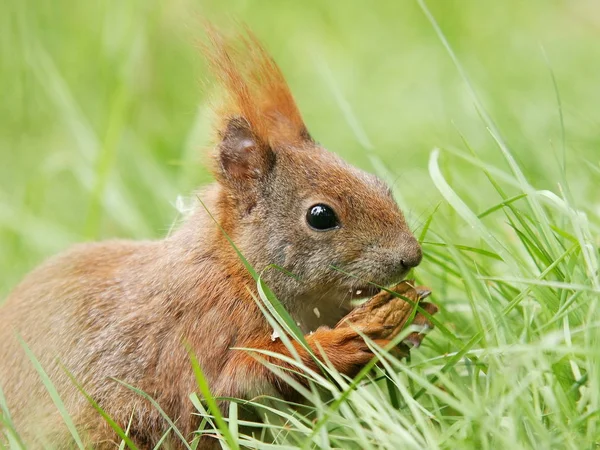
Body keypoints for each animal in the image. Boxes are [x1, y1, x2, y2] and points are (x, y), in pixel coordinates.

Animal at [0, 27, 432, 446]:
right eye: (321, 216)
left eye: (379, 184)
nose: (411, 256)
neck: (237, 271)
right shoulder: (202, 329)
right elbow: (234, 378)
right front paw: (345, 341)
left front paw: (414, 318)